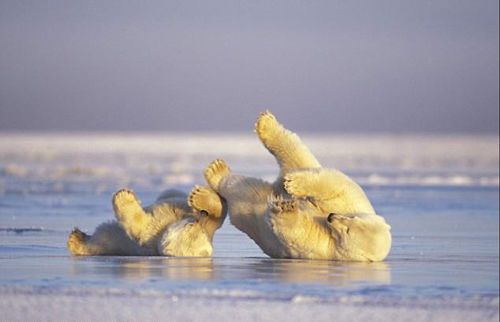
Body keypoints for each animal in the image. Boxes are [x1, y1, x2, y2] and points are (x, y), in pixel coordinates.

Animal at [203, 110, 390, 262]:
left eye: (348, 231)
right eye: (353, 218)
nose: (331, 216)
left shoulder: (326, 248)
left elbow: (298, 233)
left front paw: (284, 207)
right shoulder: (354, 202)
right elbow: (336, 184)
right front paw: (294, 185)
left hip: (247, 212)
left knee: (245, 189)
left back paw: (215, 175)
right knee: (298, 158)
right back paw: (265, 125)